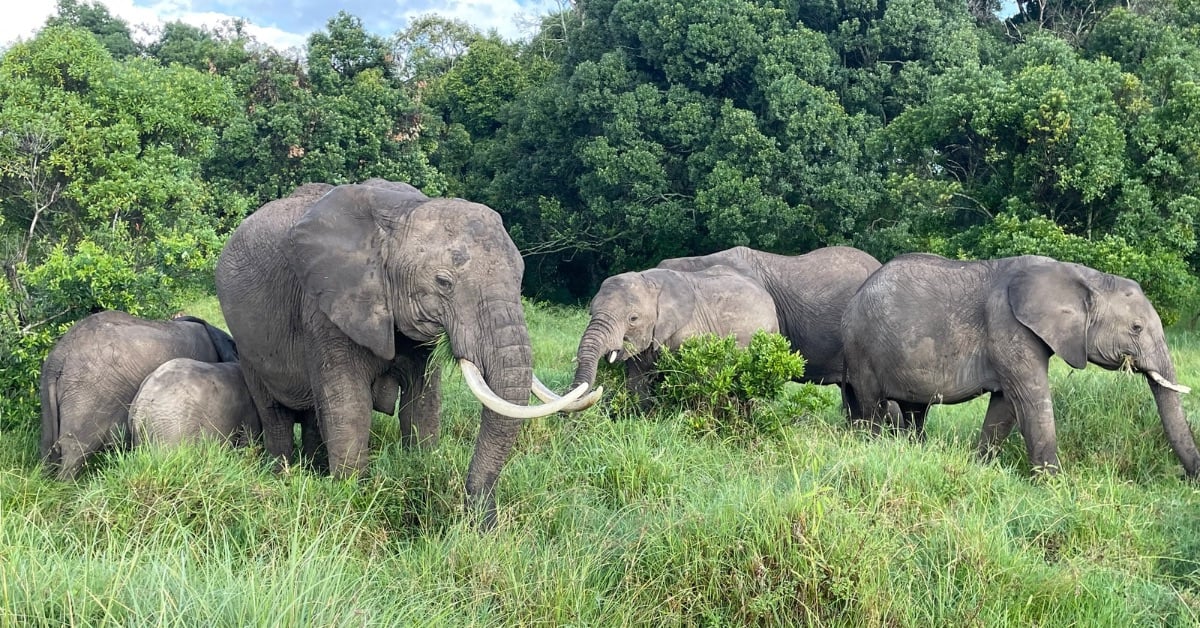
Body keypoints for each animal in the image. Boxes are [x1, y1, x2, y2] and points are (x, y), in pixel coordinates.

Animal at [214, 179, 598, 528]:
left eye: (519, 279)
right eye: (443, 282)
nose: (482, 524)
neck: (401, 215)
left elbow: (423, 404)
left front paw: (421, 469)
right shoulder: (325, 307)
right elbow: (349, 408)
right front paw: (353, 500)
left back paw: (314, 471)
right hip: (247, 343)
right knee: (275, 413)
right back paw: (282, 473)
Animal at [840, 253, 1200, 477]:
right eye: (1136, 328)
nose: (1190, 480)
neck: (1085, 276)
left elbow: (1005, 407)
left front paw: (981, 467)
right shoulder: (1008, 325)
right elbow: (1029, 400)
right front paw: (1054, 487)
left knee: (914, 410)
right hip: (863, 348)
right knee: (872, 406)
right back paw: (870, 446)